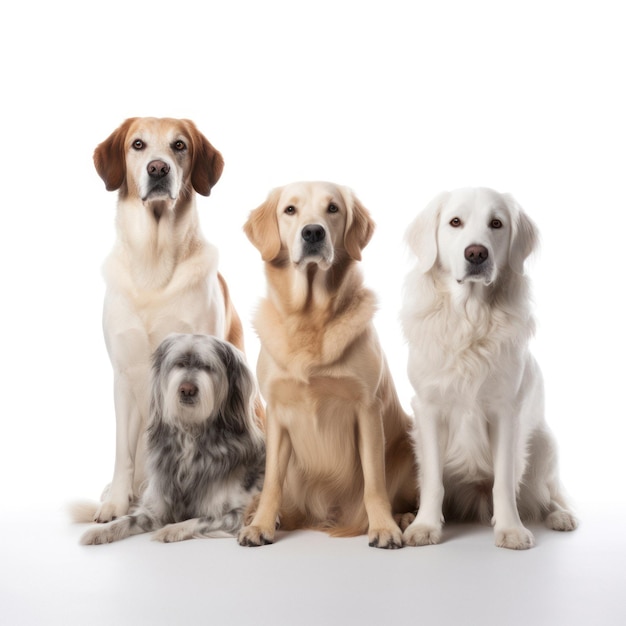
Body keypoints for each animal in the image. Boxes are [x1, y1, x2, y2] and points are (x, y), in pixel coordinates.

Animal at [81, 116, 252, 520]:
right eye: (138, 144)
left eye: (179, 146)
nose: (158, 169)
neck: (153, 263)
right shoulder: (124, 376)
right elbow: (123, 451)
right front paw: (116, 504)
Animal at [236, 179, 416, 544]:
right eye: (290, 210)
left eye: (333, 208)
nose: (313, 232)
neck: (310, 318)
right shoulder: (277, 414)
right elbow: (272, 482)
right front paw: (261, 525)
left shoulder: (367, 408)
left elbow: (375, 483)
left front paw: (383, 527)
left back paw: (403, 518)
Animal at [400, 188, 576, 548]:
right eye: (455, 222)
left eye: (496, 223)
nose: (476, 253)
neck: (470, 317)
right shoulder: (428, 408)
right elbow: (432, 480)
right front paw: (425, 525)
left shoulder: (505, 410)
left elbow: (504, 480)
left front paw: (510, 528)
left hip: (545, 444)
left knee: (547, 493)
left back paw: (560, 515)